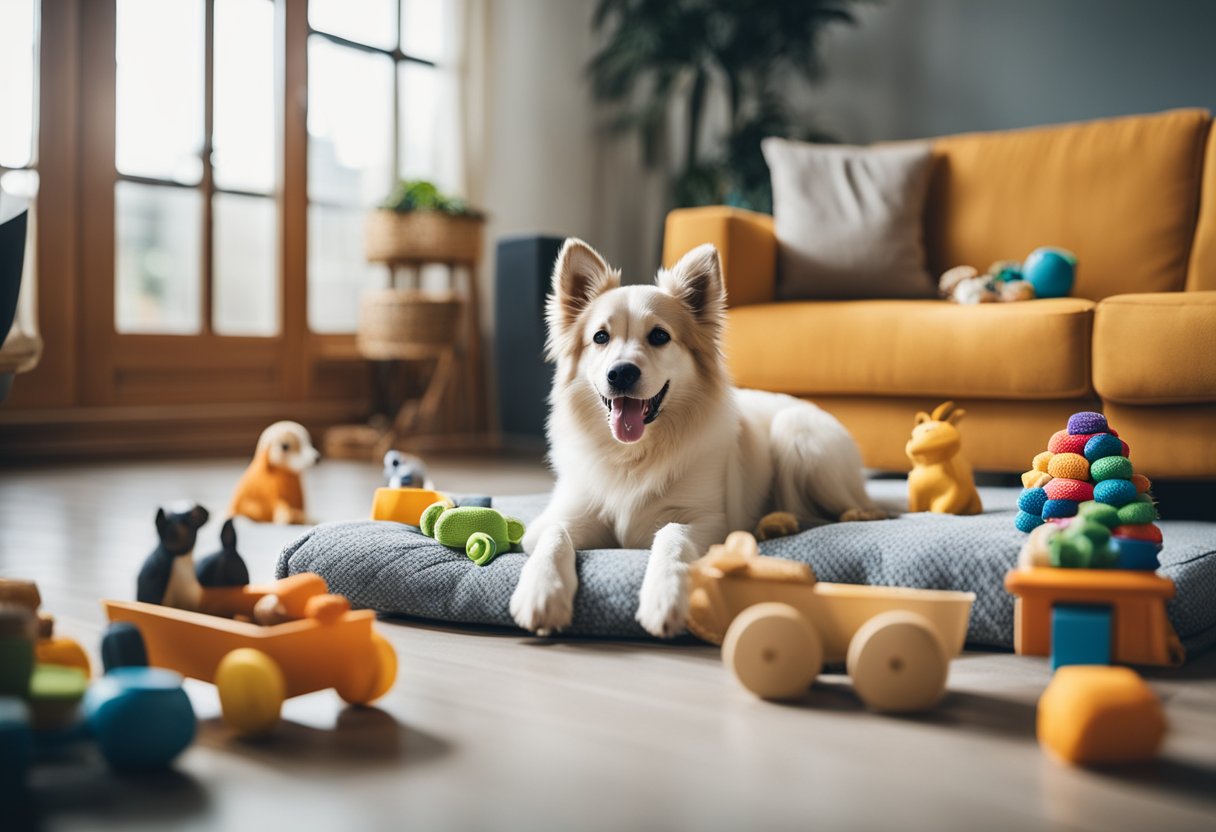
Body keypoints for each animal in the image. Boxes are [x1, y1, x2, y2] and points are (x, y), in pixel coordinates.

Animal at [513, 238, 885, 637]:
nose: (621, 373)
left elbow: (671, 535)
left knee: (849, 504)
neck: (634, 455)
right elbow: (553, 537)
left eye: (659, 336)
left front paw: (665, 595)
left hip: (796, 433)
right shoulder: (559, 517)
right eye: (600, 337)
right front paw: (541, 591)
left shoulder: (709, 521)